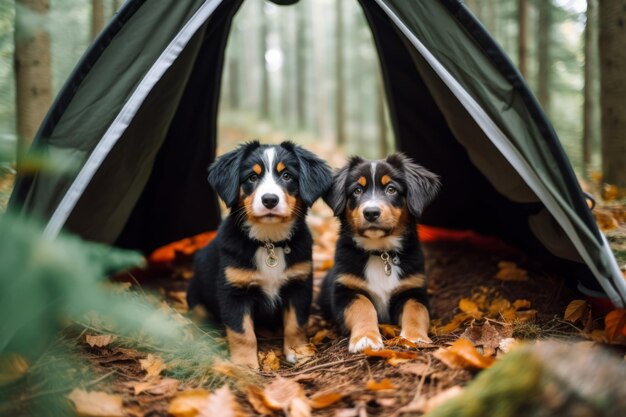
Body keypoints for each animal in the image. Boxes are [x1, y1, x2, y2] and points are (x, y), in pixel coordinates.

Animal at [185, 141, 332, 368]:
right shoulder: (233, 290)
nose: (269, 200)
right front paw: (245, 365)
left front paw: (298, 352)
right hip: (196, 294)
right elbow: (242, 332)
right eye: (252, 178)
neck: (268, 242)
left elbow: (296, 324)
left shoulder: (299, 284)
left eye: (287, 176)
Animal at [320, 154, 436, 352]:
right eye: (357, 190)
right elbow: (363, 306)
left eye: (391, 189)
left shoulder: (413, 289)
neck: (380, 252)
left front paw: (415, 338)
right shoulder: (346, 289)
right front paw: (366, 338)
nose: (371, 212)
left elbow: (416, 310)